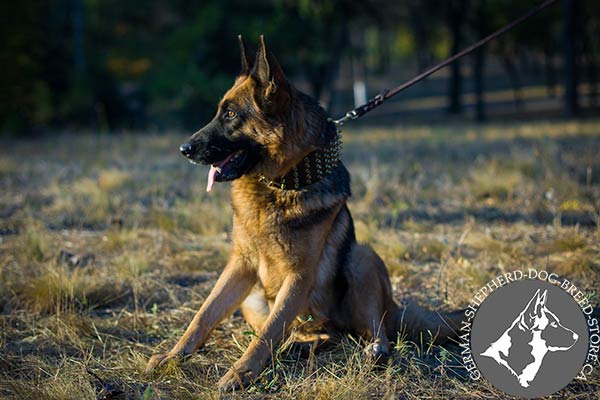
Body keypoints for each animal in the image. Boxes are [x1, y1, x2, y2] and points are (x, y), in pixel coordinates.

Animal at [146, 34, 464, 390]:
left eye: (230, 114)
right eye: (220, 112)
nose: (184, 149)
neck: (282, 184)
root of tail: (395, 308)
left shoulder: (300, 276)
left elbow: (267, 334)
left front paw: (240, 372)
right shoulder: (240, 264)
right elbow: (204, 315)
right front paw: (174, 356)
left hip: (361, 258)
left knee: (367, 330)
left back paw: (371, 350)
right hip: (253, 299)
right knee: (310, 334)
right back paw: (296, 348)